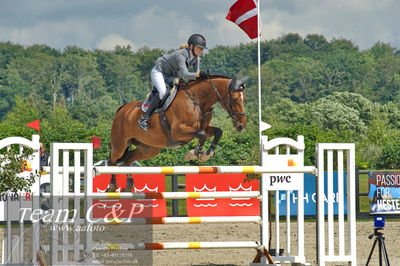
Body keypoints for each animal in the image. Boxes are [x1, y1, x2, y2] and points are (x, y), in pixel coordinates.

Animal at [106, 75, 247, 191]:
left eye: (243, 99)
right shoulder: (178, 131)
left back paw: (129, 184)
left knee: (128, 159)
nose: (242, 125)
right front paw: (195, 153)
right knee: (112, 160)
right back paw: (112, 185)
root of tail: (122, 109)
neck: (196, 101)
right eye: (235, 99)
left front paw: (207, 154)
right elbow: (201, 134)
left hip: (148, 149)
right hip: (120, 144)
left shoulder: (203, 128)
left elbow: (217, 131)